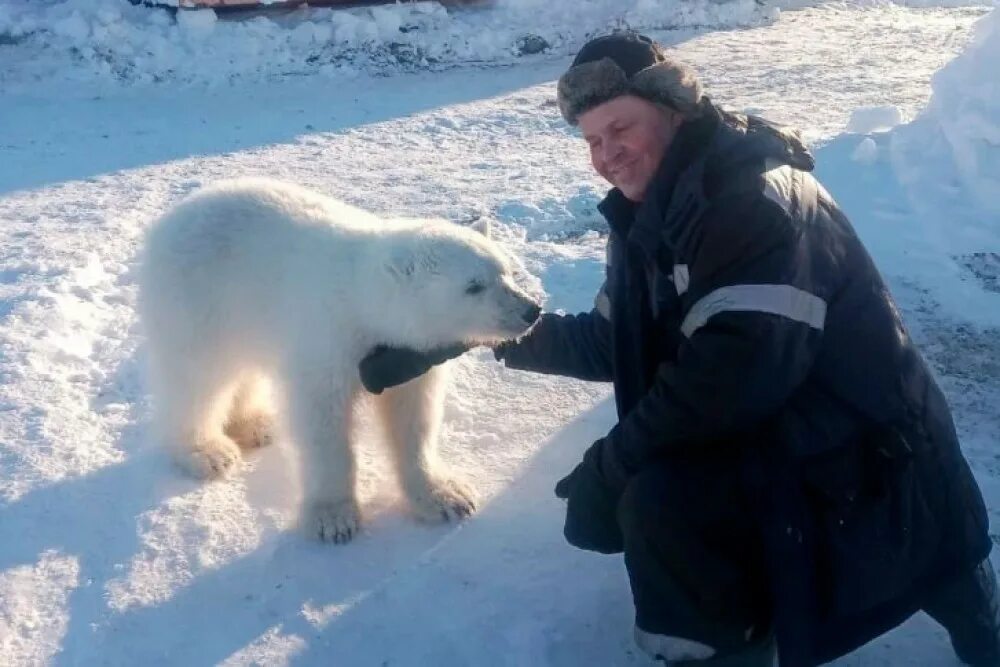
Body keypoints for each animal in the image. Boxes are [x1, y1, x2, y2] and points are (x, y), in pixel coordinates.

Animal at [135, 177, 540, 544]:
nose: (531, 310)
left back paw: (258, 424)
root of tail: (169, 220)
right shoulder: (329, 339)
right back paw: (207, 452)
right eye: (473, 286)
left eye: (506, 271)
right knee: (196, 378)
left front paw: (447, 497)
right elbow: (323, 425)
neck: (364, 301)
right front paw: (333, 519)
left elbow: (414, 418)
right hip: (199, 298)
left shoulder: (407, 357)